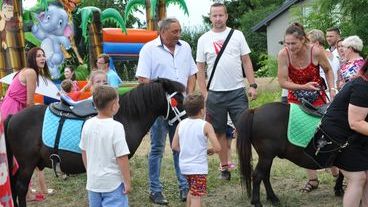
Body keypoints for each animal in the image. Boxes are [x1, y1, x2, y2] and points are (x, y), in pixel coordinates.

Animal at [4, 78, 185, 207]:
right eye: (178, 99)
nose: (185, 120)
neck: (125, 116)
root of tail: (13, 117)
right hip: (27, 164)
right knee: (20, 188)